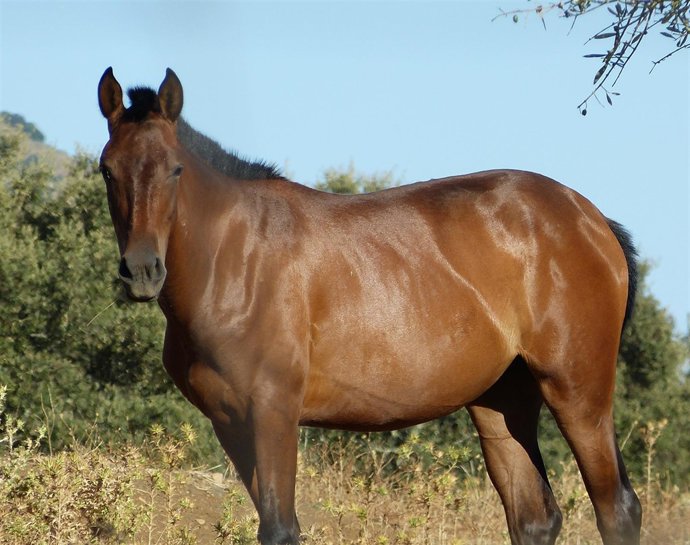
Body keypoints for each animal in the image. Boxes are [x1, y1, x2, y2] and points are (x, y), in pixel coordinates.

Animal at [97, 67, 641, 545]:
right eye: (108, 170)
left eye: (175, 169)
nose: (142, 271)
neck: (233, 260)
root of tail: (589, 217)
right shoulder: (231, 424)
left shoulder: (273, 413)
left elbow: (280, 529)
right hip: (502, 401)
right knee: (534, 518)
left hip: (578, 391)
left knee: (617, 509)